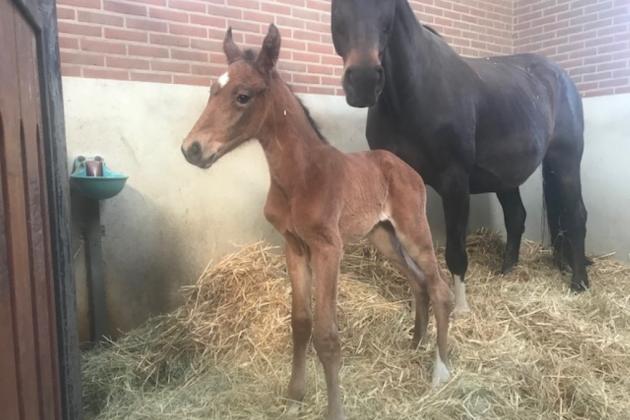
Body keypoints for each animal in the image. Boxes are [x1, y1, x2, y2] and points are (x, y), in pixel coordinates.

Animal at [183, 23, 454, 420]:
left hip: (413, 231)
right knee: (418, 282)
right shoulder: (294, 246)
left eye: (243, 96)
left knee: (439, 289)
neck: (299, 178)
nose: (191, 149)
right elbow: (300, 323)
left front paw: (334, 409)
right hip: (382, 236)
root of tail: (405, 167)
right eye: (211, 92)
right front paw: (294, 395)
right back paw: (415, 341)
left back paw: (440, 368)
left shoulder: (328, 248)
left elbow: (327, 334)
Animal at [334, 0, 592, 312]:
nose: (363, 80)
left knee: (576, 215)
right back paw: (507, 271)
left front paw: (460, 309)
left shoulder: (455, 182)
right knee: (516, 216)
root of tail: (562, 77)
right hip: (506, 178)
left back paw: (579, 283)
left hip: (565, 161)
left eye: (388, 6)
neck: (414, 92)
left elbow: (456, 251)